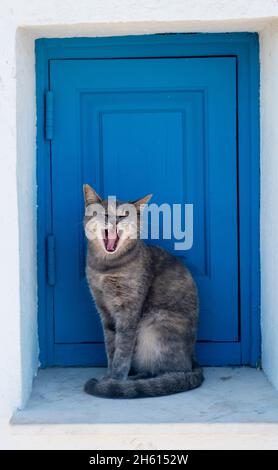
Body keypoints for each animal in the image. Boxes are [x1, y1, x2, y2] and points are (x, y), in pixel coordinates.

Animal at [83, 184, 204, 396]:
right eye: (105, 213)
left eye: (123, 216)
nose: (114, 222)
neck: (106, 268)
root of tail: (193, 359)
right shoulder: (103, 309)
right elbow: (111, 346)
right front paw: (109, 375)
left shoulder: (129, 310)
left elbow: (122, 350)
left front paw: (115, 381)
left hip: (155, 325)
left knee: (168, 371)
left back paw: (137, 380)